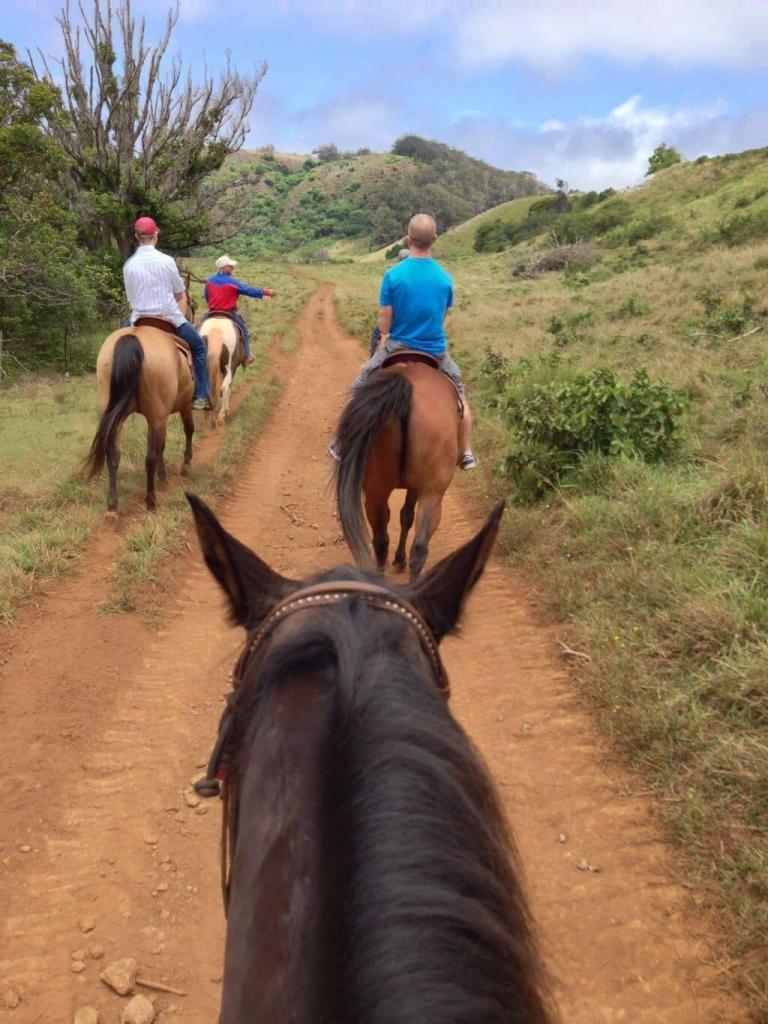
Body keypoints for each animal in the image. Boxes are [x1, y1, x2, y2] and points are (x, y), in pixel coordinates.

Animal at [85, 286, 196, 512]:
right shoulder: (182, 406)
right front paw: (184, 464)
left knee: (113, 453)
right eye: (192, 305)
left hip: (115, 414)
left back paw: (112, 505)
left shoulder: (162, 416)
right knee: (149, 457)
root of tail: (132, 340)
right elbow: (187, 430)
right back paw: (150, 499)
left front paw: (164, 476)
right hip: (156, 415)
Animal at [335, 358, 462, 585]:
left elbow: (404, 516)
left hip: (379, 490)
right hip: (430, 491)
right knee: (416, 546)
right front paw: (399, 560)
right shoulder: (414, 487)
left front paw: (399, 560)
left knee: (383, 540)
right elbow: (406, 516)